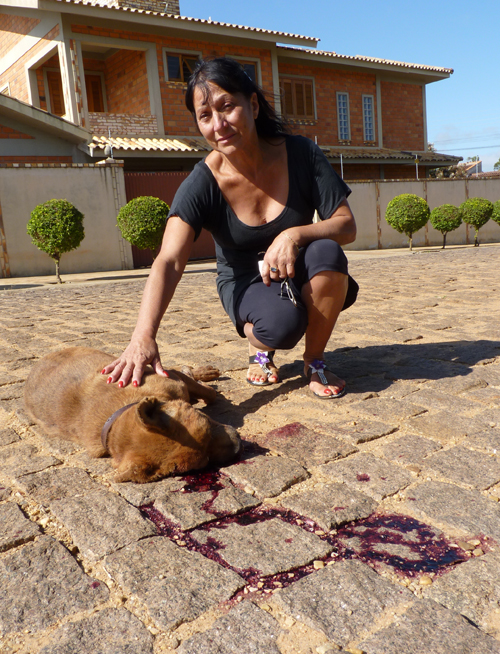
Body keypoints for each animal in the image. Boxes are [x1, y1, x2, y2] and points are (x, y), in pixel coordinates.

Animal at [23, 348, 242, 482]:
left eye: (207, 429)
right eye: (204, 462)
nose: (238, 446)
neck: (114, 417)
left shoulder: (173, 381)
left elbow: (209, 394)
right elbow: (209, 394)